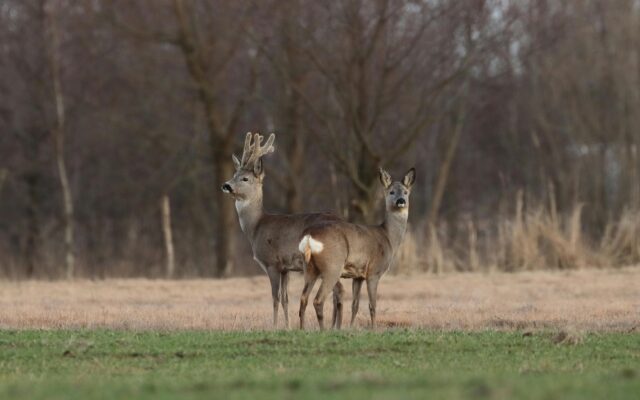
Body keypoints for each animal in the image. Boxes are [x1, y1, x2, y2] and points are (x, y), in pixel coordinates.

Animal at [221, 132, 344, 329]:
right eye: (234, 174)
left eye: (245, 178)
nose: (226, 185)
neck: (256, 227)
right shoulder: (286, 268)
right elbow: (286, 299)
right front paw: (287, 326)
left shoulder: (272, 263)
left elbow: (275, 298)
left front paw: (274, 326)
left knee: (337, 291)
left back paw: (334, 326)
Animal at [298, 167, 416, 330]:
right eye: (391, 192)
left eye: (405, 192)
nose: (401, 201)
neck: (388, 237)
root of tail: (309, 237)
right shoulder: (374, 271)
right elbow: (372, 305)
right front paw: (374, 329)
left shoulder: (358, 276)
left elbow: (355, 304)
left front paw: (351, 328)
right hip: (332, 266)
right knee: (318, 300)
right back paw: (323, 331)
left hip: (309, 267)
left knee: (303, 298)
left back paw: (302, 329)